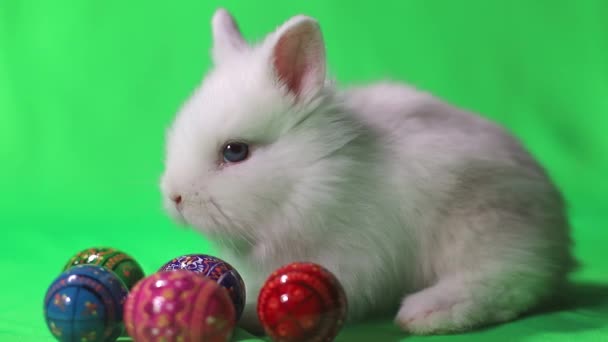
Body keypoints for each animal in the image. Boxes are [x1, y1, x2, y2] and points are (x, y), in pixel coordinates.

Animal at [158, 9, 576, 336]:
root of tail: (558, 234)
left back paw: (425, 312)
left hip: (483, 226)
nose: (175, 197)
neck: (313, 175)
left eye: (235, 151)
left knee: (511, 281)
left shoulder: (351, 257)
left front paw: (245, 313)